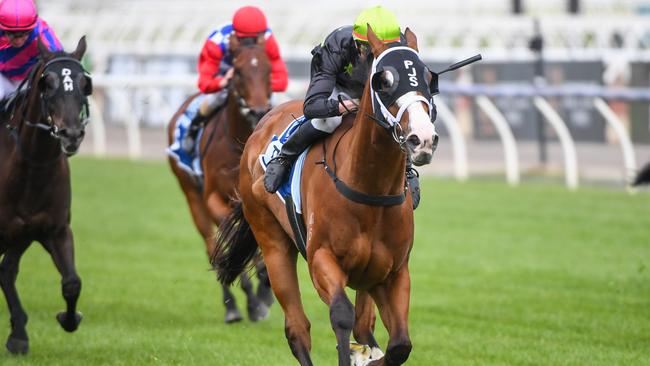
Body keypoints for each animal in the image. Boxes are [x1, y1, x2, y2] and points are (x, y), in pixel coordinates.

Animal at [167, 34, 274, 322]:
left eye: (268, 70)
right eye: (238, 71)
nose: (258, 110)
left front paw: (264, 287)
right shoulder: (213, 197)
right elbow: (231, 236)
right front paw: (254, 292)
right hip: (191, 196)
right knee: (211, 246)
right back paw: (234, 306)